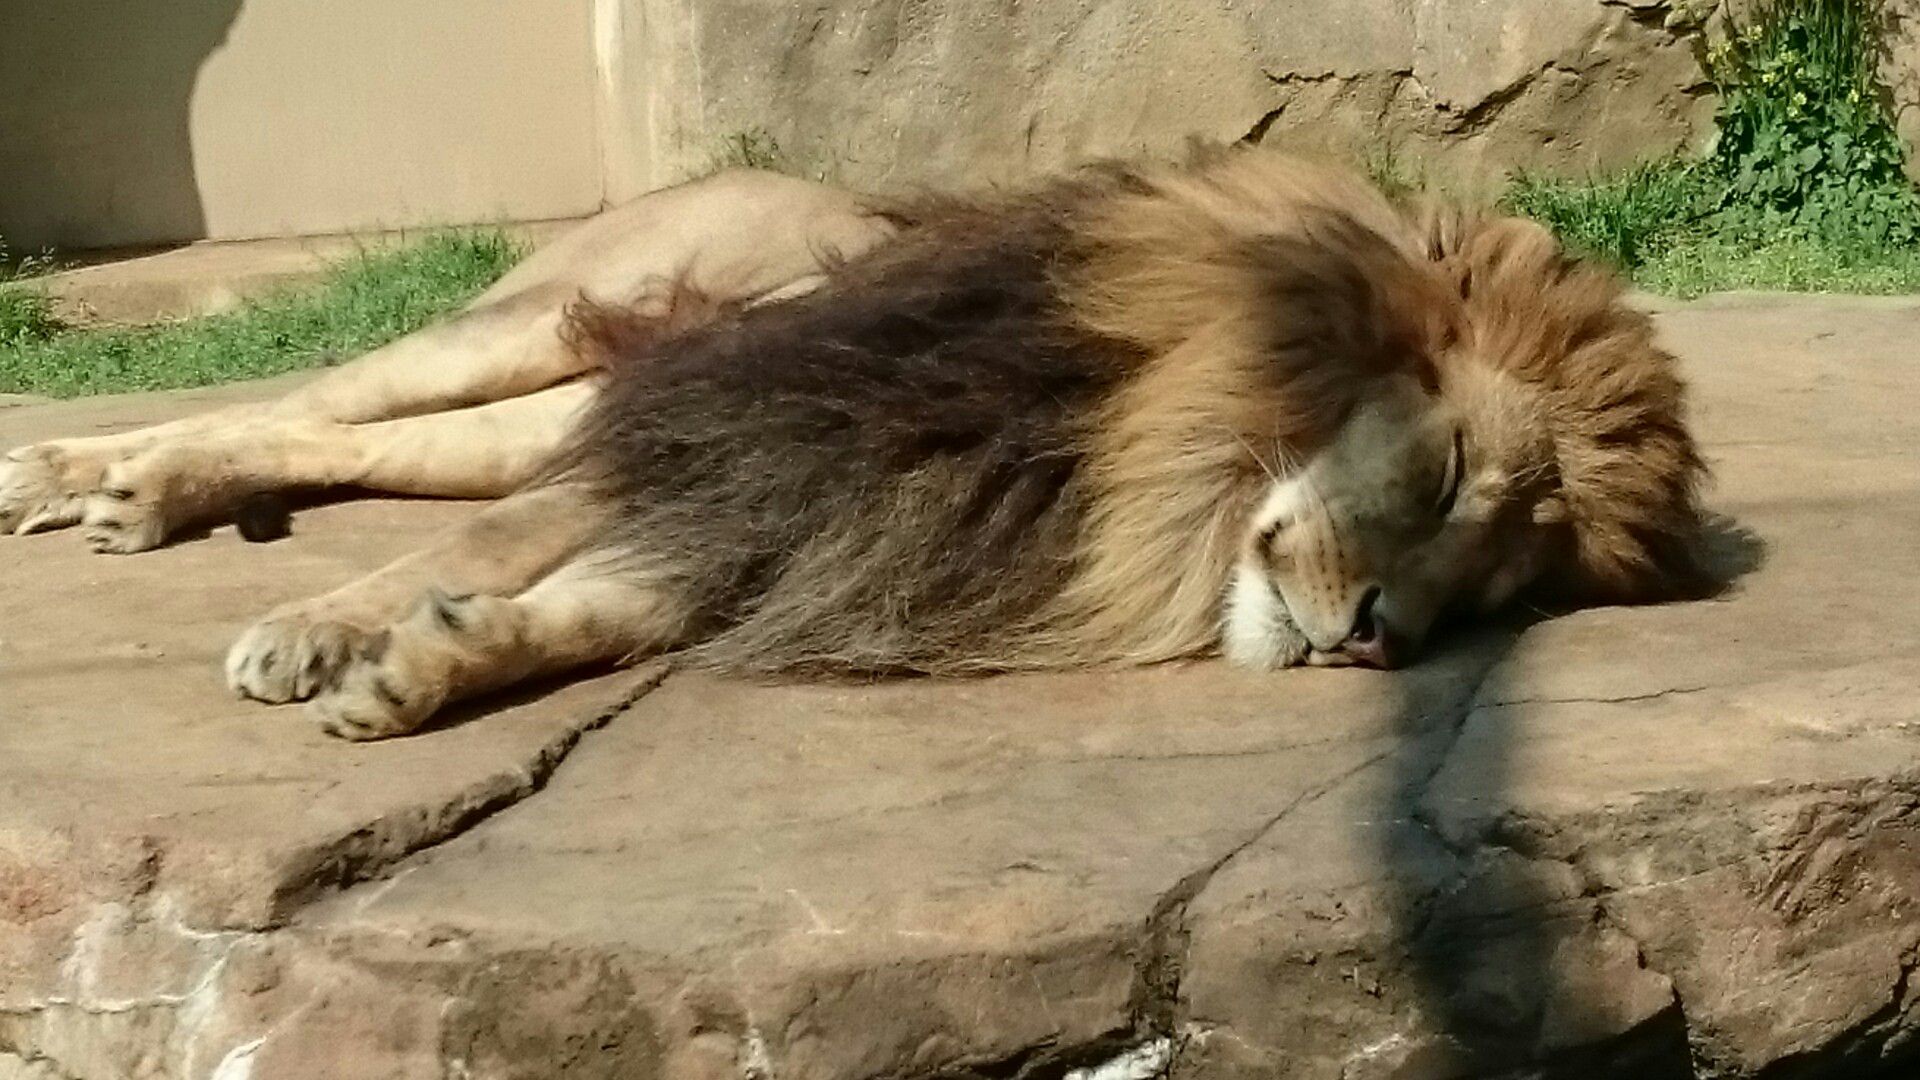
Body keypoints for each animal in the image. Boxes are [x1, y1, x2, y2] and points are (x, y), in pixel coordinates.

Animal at [3, 145, 1712, 737]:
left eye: (1490, 596)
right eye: (1446, 476)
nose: (1370, 638)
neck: (1139, 464)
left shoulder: (830, 522)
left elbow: (582, 608)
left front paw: (425, 666)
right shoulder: (752, 434)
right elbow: (497, 548)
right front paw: (325, 631)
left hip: (559, 393)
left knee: (341, 443)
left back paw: (126, 489)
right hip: (559, 327)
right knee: (319, 399)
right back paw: (93, 476)